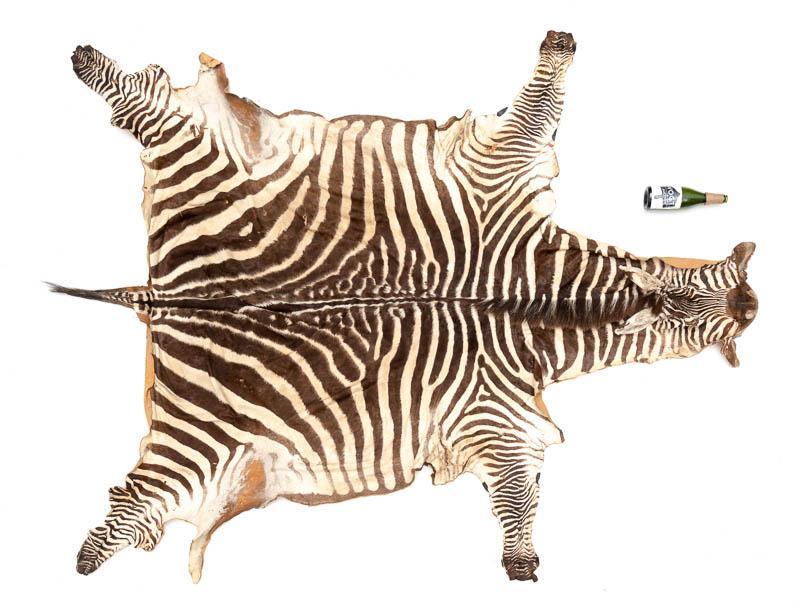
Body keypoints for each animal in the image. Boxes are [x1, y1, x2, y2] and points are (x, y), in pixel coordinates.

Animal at [58, 31, 758, 582]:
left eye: (721, 295)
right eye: (694, 328)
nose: (751, 303)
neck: (548, 295)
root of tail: (160, 292)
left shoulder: (496, 419)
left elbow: (515, 501)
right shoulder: (505, 171)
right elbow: (538, 105)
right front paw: (523, 563)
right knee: (142, 99)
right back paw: (87, 62)